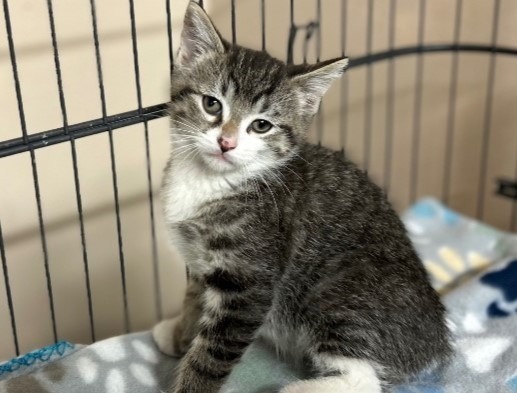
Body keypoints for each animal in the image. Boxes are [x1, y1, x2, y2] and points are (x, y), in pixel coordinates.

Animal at [151, 1, 450, 390]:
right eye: (212, 104)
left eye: (261, 125)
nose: (226, 142)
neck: (212, 181)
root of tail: (436, 346)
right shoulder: (201, 261)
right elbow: (195, 297)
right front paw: (180, 331)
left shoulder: (250, 281)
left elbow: (211, 354)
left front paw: (190, 378)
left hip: (338, 294)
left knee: (363, 378)